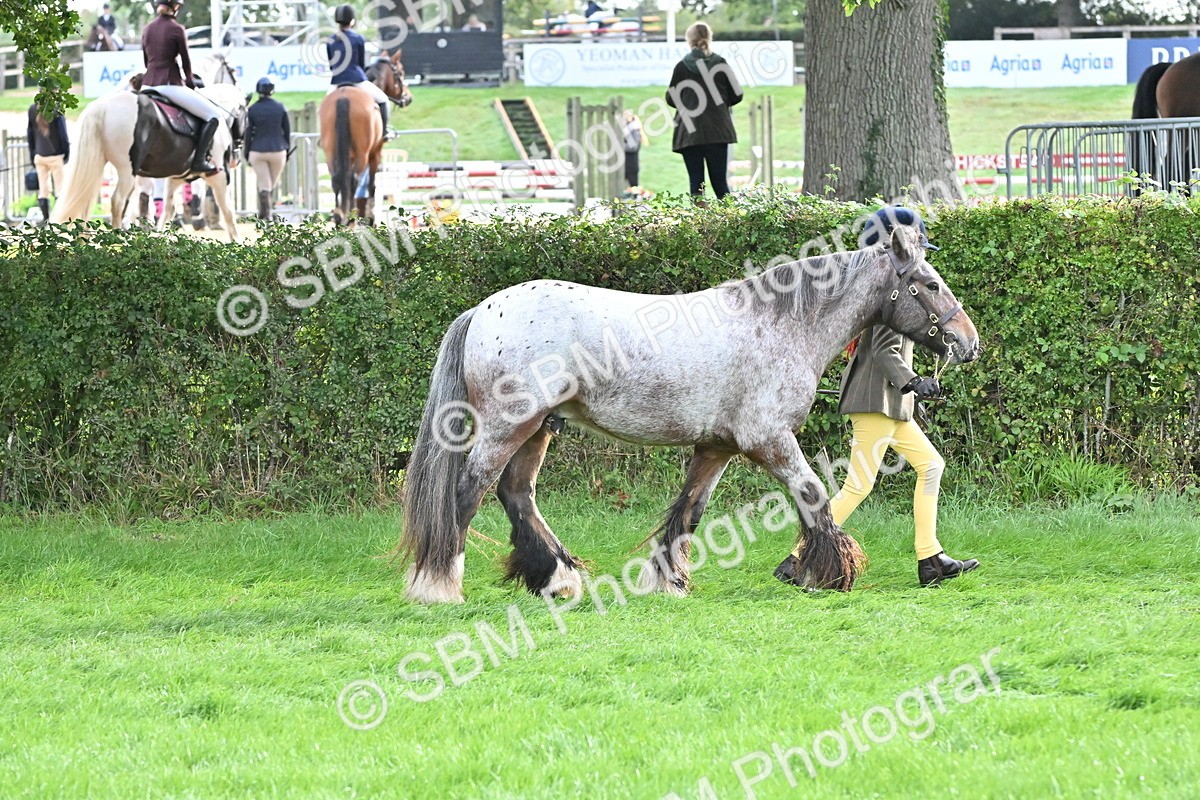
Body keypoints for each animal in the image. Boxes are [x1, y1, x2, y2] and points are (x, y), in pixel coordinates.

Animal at [51, 54, 247, 241]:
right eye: (245, 114)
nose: (236, 159)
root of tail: (104, 105)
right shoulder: (219, 175)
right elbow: (228, 210)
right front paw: (237, 242)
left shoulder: (176, 178)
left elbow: (169, 209)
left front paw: (161, 237)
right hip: (127, 168)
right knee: (118, 201)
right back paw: (117, 238)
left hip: (98, 164)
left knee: (87, 201)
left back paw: (84, 241)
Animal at [318, 49, 412, 226]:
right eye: (401, 73)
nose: (408, 98)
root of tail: (344, 96)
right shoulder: (376, 153)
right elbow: (372, 184)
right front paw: (370, 217)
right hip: (363, 153)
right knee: (354, 179)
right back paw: (351, 218)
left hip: (330, 152)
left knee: (336, 179)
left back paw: (338, 217)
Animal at [396, 225, 981, 604]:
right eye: (930, 284)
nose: (968, 342)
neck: (781, 324)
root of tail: (483, 311)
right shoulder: (770, 440)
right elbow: (814, 495)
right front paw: (825, 573)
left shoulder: (717, 447)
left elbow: (689, 513)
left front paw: (667, 582)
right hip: (507, 426)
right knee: (467, 494)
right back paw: (438, 588)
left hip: (537, 428)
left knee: (516, 494)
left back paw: (558, 580)